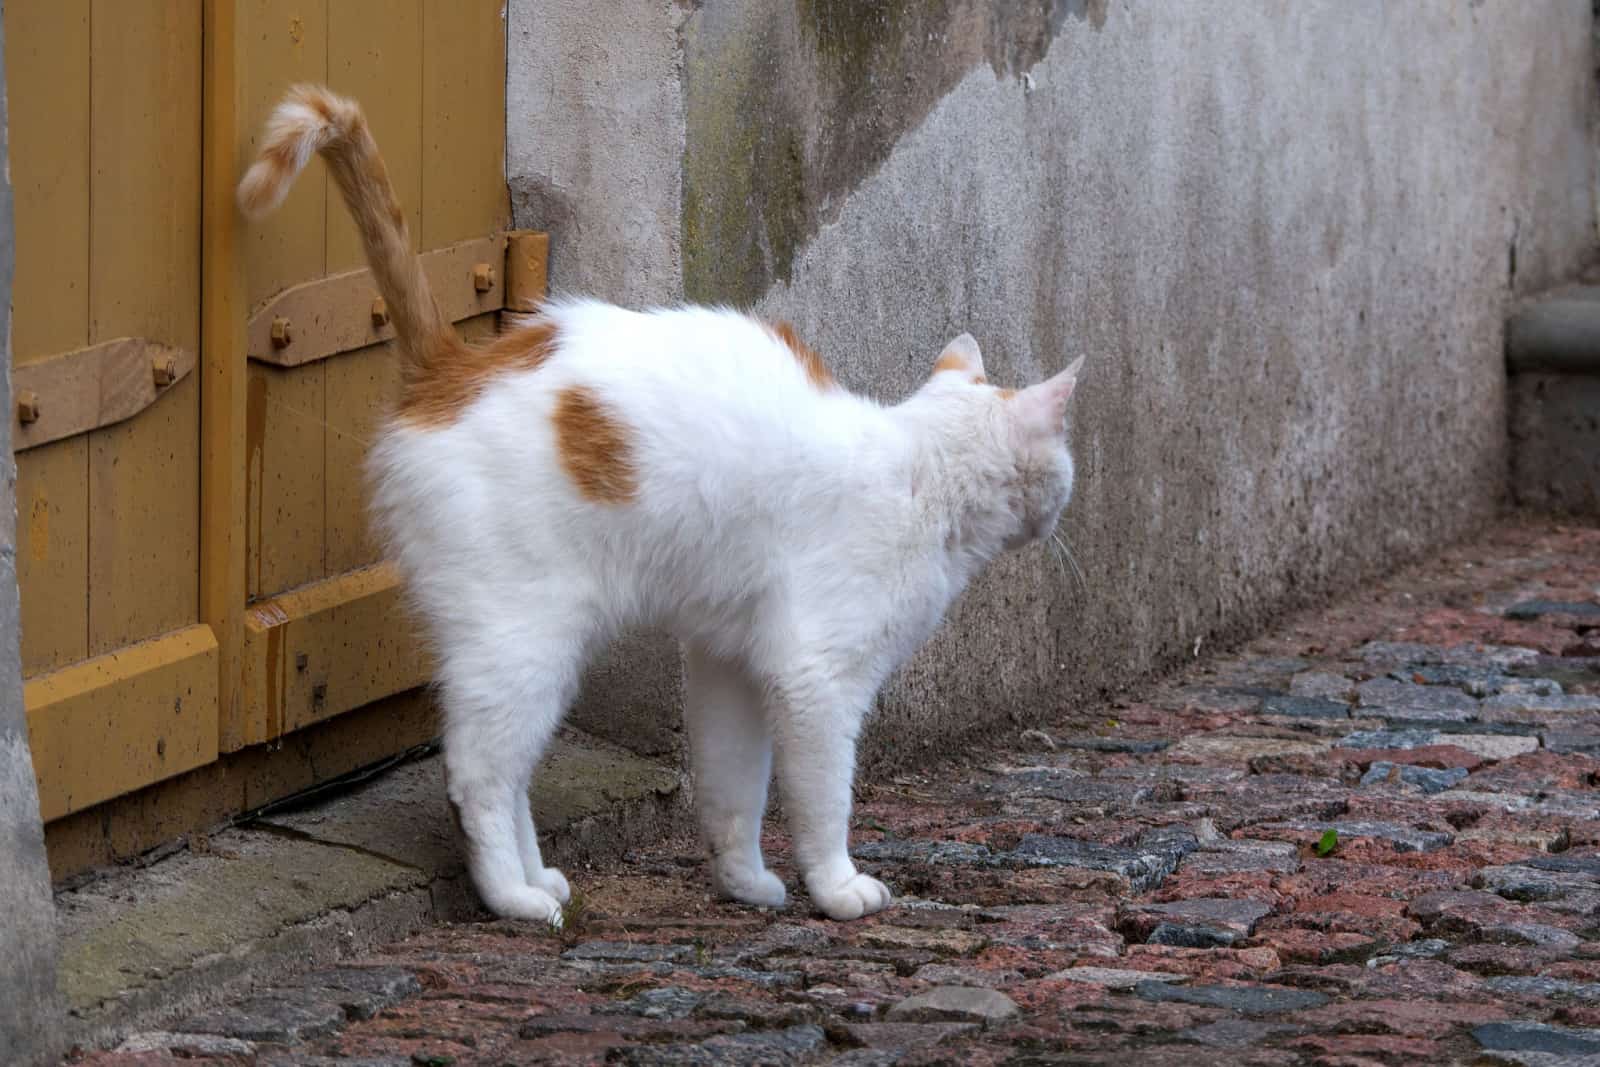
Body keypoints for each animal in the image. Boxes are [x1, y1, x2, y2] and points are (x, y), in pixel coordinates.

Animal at [236, 85, 1088, 927]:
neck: (918, 470)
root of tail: (453, 367)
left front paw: (745, 881)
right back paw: (513, 896)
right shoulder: (817, 678)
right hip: (523, 639)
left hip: (539, 651)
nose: (1062, 510)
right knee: (478, 773)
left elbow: (734, 790)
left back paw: (539, 877)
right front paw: (837, 886)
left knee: (511, 771)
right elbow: (822, 801)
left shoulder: (731, 665)